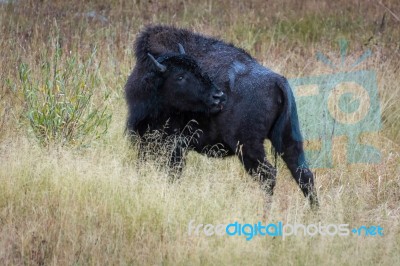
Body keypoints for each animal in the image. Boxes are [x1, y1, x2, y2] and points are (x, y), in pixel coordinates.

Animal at [125, 25, 318, 208]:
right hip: (287, 140)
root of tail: (278, 81)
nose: (218, 96)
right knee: (304, 175)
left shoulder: (173, 145)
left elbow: (172, 173)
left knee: (269, 175)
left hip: (248, 147)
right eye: (180, 76)